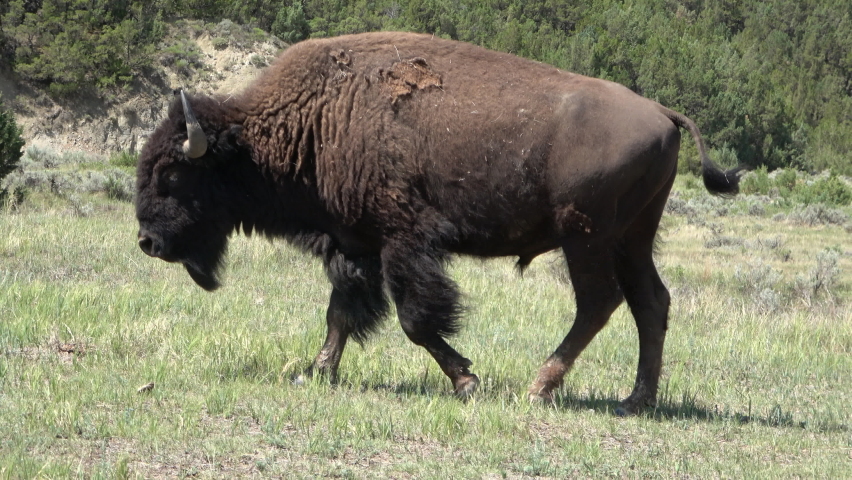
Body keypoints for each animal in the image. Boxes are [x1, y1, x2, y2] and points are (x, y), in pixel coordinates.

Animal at [135, 32, 739, 415]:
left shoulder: (404, 243)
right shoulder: (354, 245)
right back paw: (637, 399)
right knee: (650, 302)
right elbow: (341, 312)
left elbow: (415, 319)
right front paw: (318, 371)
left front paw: (467, 381)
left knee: (600, 302)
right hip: (633, 237)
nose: (147, 241)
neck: (311, 119)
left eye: (172, 175)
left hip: (585, 235)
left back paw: (539, 387)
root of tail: (662, 112)